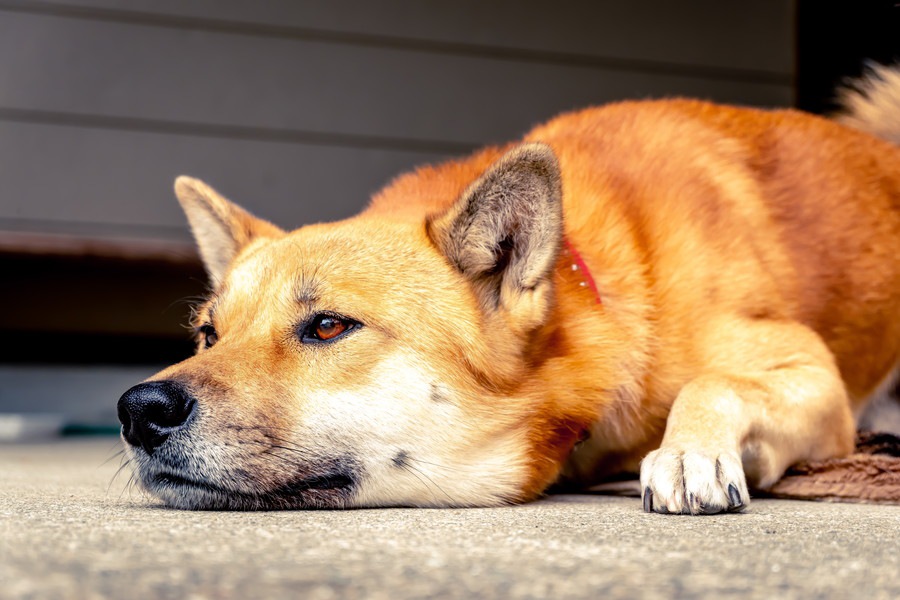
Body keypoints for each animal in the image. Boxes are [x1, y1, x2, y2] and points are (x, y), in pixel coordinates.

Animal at [118, 67, 900, 516]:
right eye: (209, 334)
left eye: (330, 327)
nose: (138, 410)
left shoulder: (814, 377)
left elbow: (715, 383)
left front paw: (688, 451)